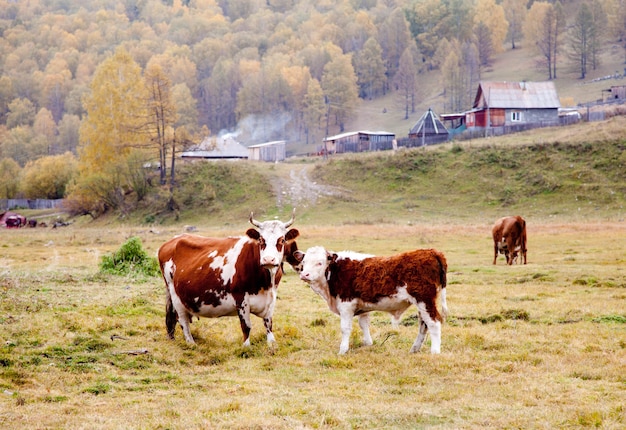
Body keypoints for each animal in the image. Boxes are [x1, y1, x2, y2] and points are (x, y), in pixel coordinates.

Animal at [158, 210, 300, 348]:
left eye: (282, 240)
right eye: (261, 239)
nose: (268, 260)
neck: (266, 283)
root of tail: (171, 241)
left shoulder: (271, 299)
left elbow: (268, 324)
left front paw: (272, 345)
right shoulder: (241, 299)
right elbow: (246, 327)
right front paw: (246, 347)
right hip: (175, 294)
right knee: (182, 320)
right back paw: (191, 343)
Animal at [294, 247, 446, 354]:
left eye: (319, 263)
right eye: (304, 262)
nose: (304, 275)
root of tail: (432, 252)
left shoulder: (346, 304)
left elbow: (345, 328)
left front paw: (343, 349)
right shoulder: (362, 306)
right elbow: (364, 324)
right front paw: (368, 344)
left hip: (424, 300)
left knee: (434, 323)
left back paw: (435, 351)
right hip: (423, 303)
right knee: (423, 324)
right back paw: (415, 349)